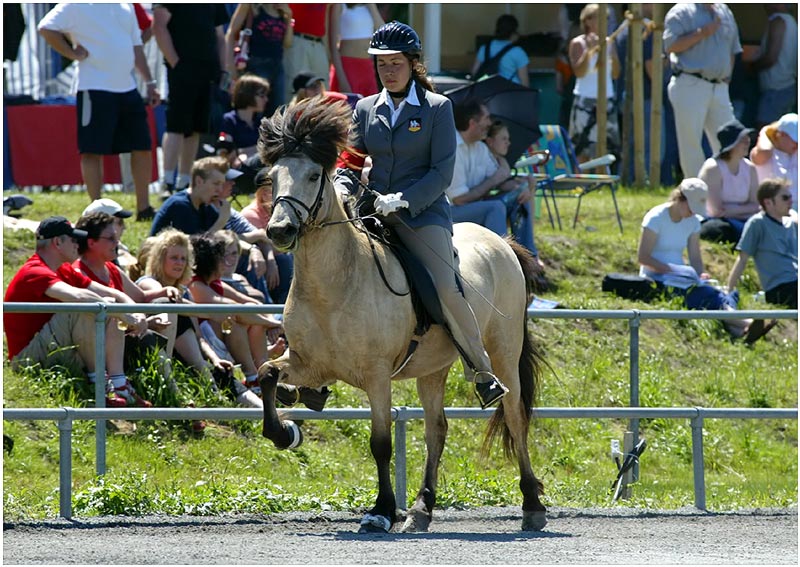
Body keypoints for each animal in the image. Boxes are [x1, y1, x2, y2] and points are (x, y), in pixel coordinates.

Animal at [258, 97, 552, 532]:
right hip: (434, 367)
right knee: (436, 430)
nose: (279, 231)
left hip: (502, 352)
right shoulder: (309, 364)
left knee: (515, 416)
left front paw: (380, 510)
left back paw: (531, 504)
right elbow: (267, 374)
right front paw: (284, 432)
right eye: (272, 178)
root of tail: (501, 241)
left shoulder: (377, 374)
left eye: (313, 175)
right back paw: (421, 509)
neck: (335, 283)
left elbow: (380, 443)